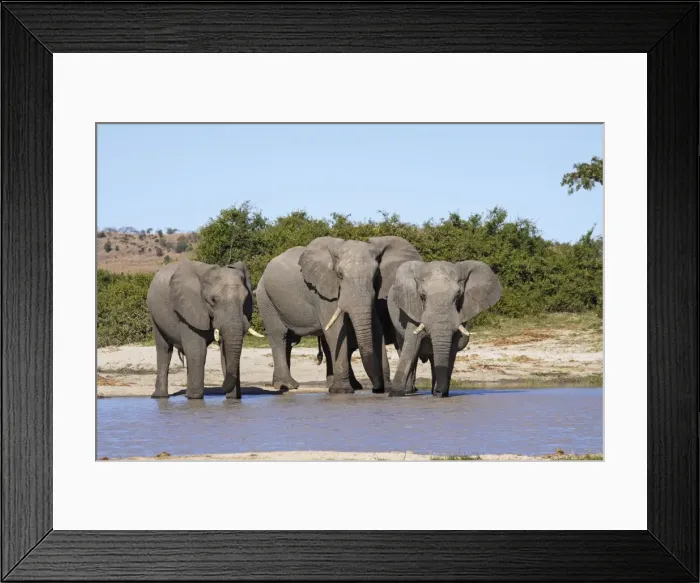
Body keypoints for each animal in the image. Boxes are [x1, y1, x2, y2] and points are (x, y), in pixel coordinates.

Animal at [146, 259, 263, 400]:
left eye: (246, 299)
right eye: (213, 300)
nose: (222, 388)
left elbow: (224, 351)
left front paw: (232, 399)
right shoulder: (189, 308)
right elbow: (197, 350)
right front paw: (195, 398)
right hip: (154, 314)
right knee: (164, 349)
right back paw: (160, 397)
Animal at [255, 236, 421, 394]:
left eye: (376, 276)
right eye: (340, 274)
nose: (377, 388)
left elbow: (375, 329)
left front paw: (386, 388)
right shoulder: (321, 293)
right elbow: (335, 331)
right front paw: (342, 391)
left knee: (291, 341)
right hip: (265, 298)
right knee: (279, 335)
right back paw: (287, 385)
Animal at [387, 260, 501, 397]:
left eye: (458, 295)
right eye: (422, 296)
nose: (439, 392)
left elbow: (451, 350)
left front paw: (440, 393)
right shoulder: (413, 307)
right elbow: (411, 347)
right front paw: (395, 394)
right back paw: (409, 391)